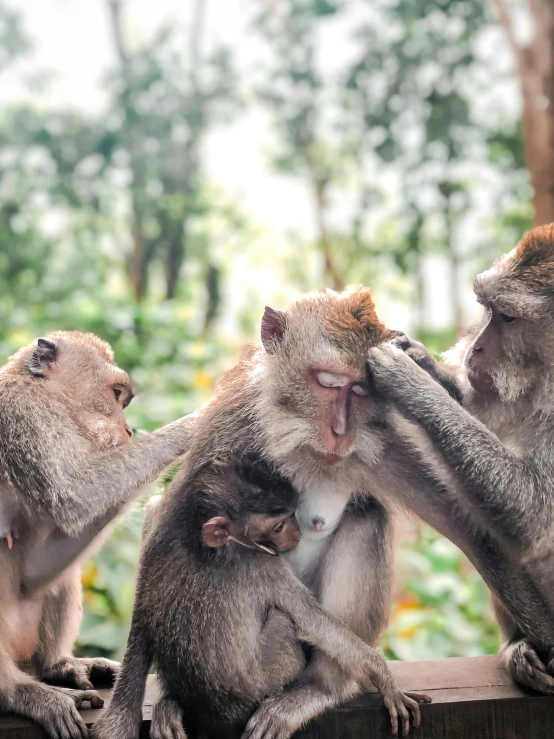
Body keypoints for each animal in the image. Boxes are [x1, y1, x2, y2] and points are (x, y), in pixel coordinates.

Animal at [0, 334, 192, 739]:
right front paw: (198, 421)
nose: (129, 431)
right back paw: (20, 693)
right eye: (116, 393)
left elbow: (37, 570)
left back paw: (58, 665)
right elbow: (75, 495)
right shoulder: (27, 417)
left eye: (124, 399)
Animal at [91, 456, 426, 739]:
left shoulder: (165, 546)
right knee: (285, 620)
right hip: (269, 675)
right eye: (278, 525)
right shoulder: (267, 568)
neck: (205, 545)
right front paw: (383, 675)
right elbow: (313, 623)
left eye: (291, 514)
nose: (297, 531)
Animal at [364, 223, 554, 696]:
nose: (478, 348)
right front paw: (422, 361)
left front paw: (411, 382)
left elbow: (533, 515)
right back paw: (518, 648)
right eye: (487, 311)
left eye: (508, 318)